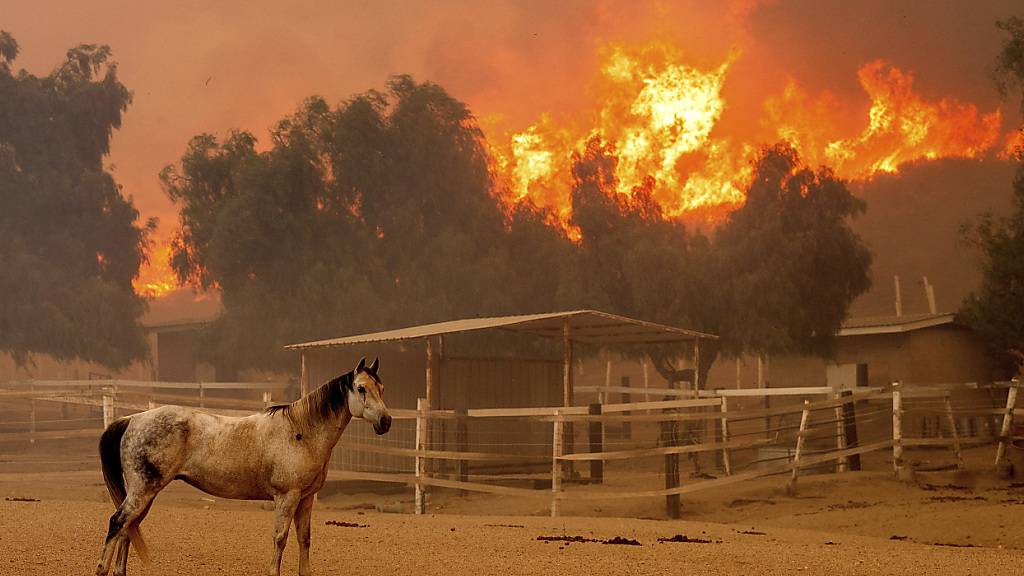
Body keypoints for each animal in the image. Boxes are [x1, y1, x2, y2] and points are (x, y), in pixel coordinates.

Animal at [96, 354, 391, 573]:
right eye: (361, 388)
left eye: (382, 388)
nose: (385, 421)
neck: (301, 432)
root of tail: (134, 419)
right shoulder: (287, 497)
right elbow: (280, 539)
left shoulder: (306, 499)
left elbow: (304, 540)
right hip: (142, 492)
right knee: (117, 523)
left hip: (145, 494)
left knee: (127, 529)